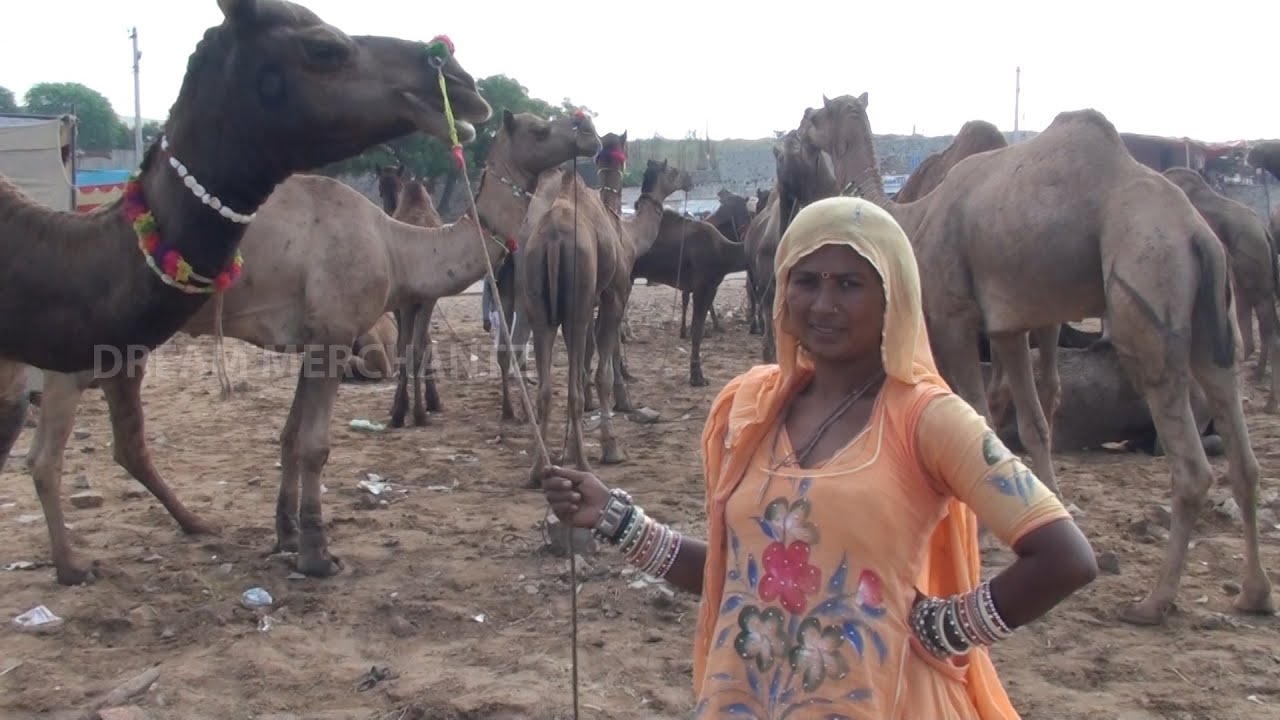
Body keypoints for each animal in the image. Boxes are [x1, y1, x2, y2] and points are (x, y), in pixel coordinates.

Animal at [18, 110, 597, 585]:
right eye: (539, 127)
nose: (588, 129)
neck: (395, 244)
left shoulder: (313, 341)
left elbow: (290, 437)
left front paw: (287, 534)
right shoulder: (335, 336)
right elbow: (316, 447)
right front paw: (318, 556)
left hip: (122, 352)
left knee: (125, 443)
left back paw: (195, 524)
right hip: (74, 349)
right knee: (45, 456)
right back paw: (72, 566)